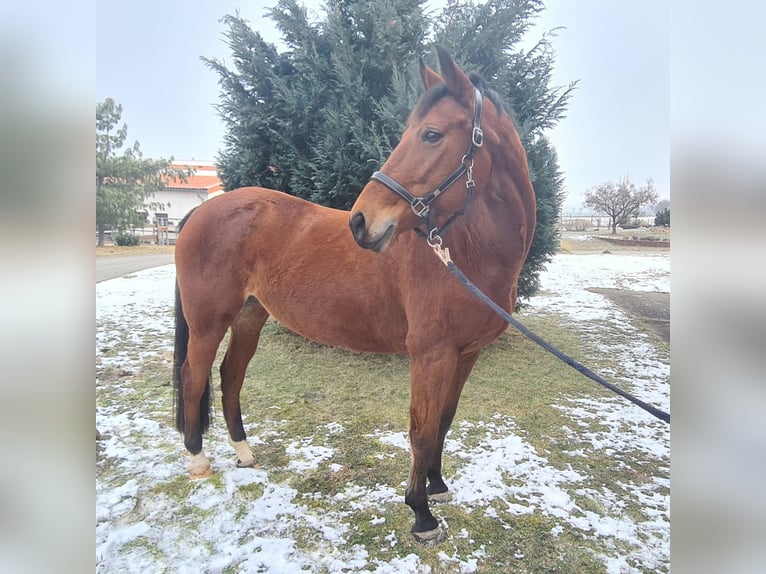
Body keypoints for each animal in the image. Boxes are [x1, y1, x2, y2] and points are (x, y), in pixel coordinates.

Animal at [173, 46, 536, 544]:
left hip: (250, 315)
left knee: (230, 376)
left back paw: (244, 453)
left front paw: (438, 485)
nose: (361, 222)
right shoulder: (431, 355)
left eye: (431, 134)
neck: (468, 252)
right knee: (194, 376)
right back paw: (197, 460)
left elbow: (444, 420)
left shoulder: (466, 354)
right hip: (208, 321)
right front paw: (421, 513)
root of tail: (203, 210)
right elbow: (421, 430)